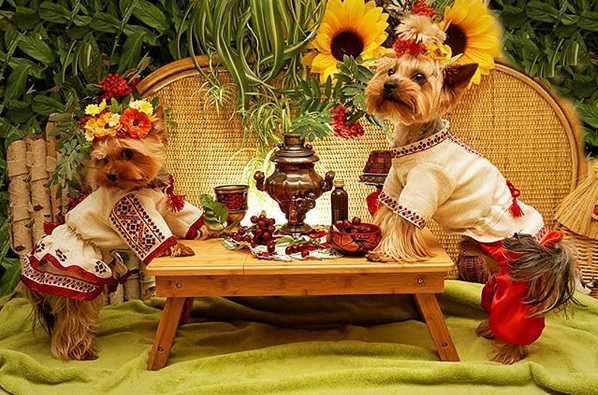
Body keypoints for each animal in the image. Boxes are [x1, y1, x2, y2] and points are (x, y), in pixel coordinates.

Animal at [20, 97, 209, 360]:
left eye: (127, 153)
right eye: (104, 159)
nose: (109, 175)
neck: (144, 186)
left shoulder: (166, 202)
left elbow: (183, 217)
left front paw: (206, 230)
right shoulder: (132, 208)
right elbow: (158, 235)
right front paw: (179, 248)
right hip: (75, 276)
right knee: (72, 318)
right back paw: (79, 351)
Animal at [364, 11, 580, 366]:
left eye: (420, 76)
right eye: (390, 71)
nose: (389, 85)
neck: (417, 138)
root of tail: (549, 245)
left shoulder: (423, 186)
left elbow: (402, 224)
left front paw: (386, 253)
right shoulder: (395, 186)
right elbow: (385, 213)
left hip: (518, 276)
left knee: (520, 317)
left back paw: (509, 351)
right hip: (501, 273)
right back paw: (489, 330)